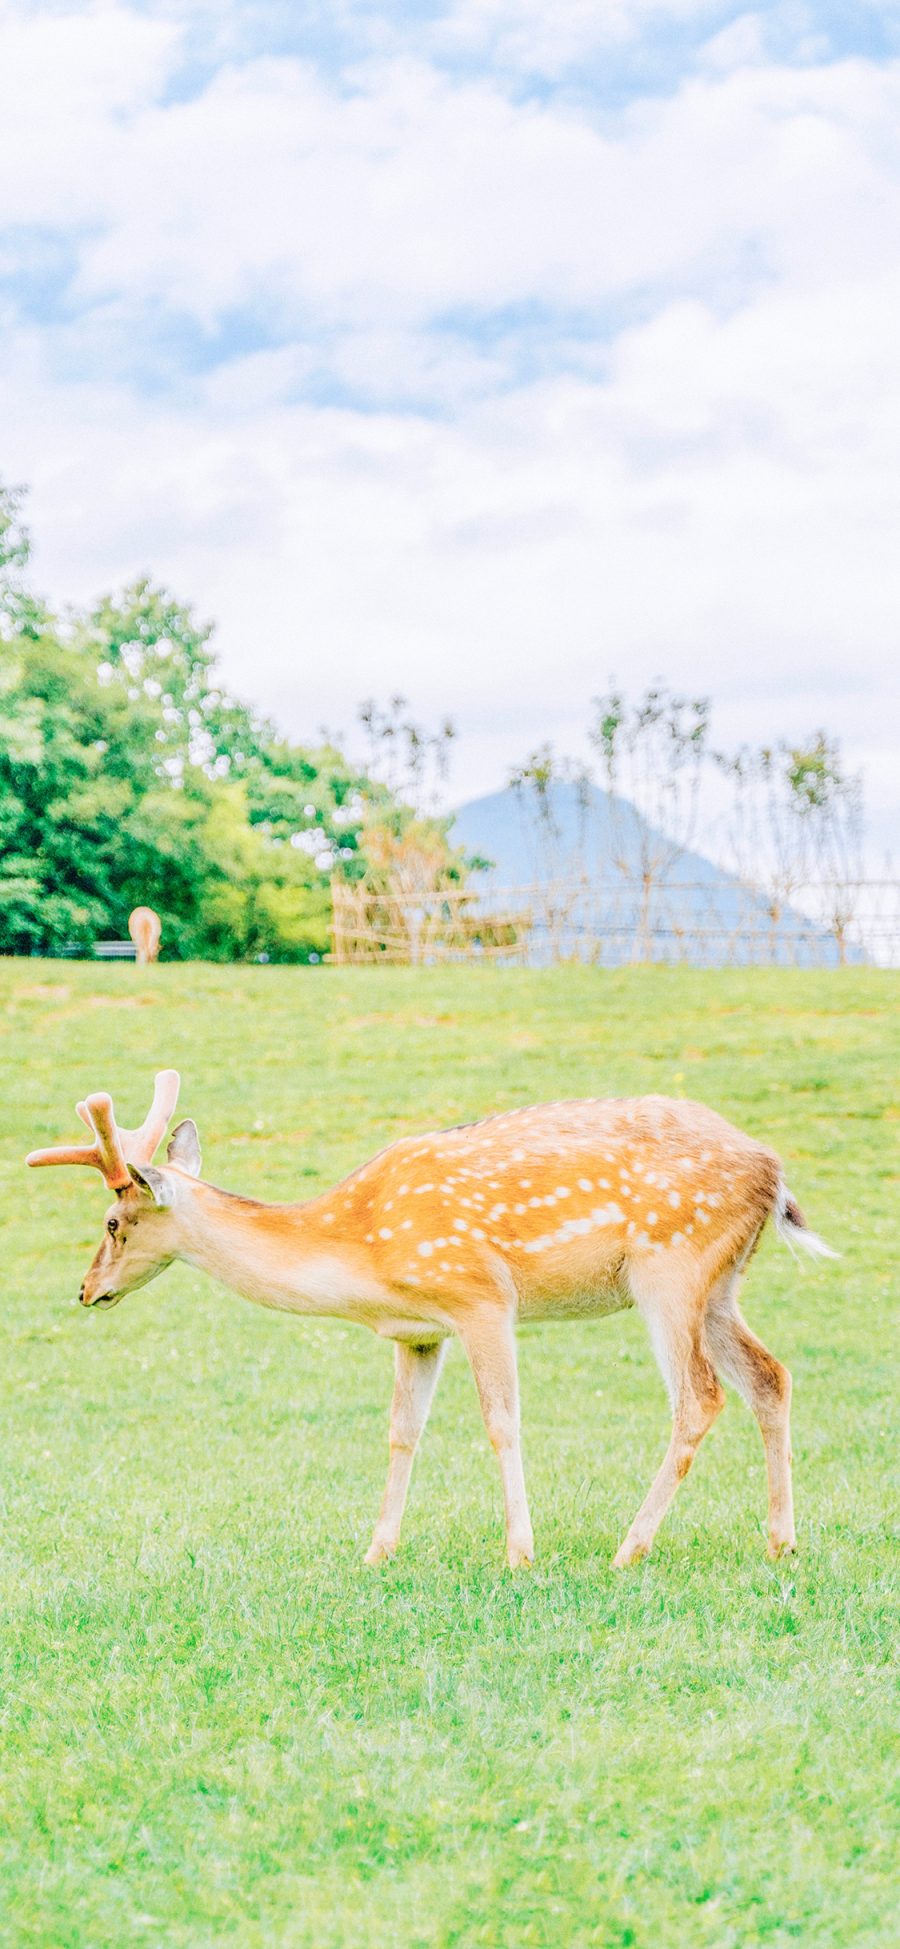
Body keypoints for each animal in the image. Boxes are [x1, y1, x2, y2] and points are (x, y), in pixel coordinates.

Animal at [24, 1068, 833, 1566]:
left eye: (112, 1222)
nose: (86, 1290)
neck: (361, 1256)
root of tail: (774, 1172)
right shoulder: (418, 1331)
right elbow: (401, 1432)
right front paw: (376, 1550)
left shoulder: (480, 1295)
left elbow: (501, 1422)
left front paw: (520, 1552)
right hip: (720, 1284)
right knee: (772, 1375)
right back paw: (781, 1541)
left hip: (671, 1264)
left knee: (700, 1396)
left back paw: (629, 1548)